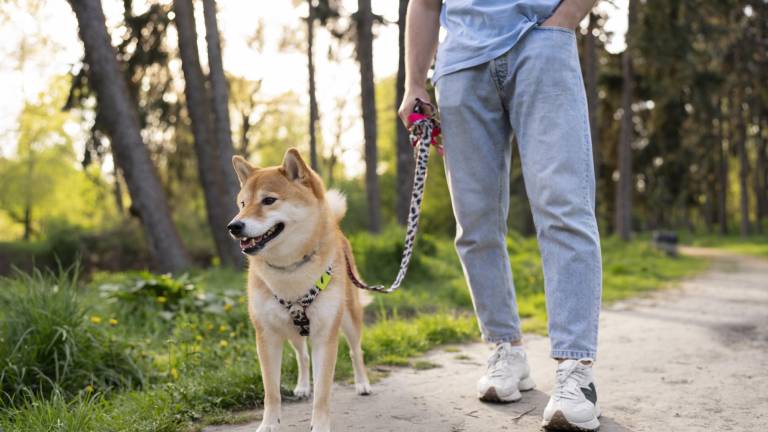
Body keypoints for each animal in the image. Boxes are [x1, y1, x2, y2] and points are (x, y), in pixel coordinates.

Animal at [226, 149, 370, 432]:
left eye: (268, 200)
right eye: (242, 204)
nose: (234, 226)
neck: (289, 270)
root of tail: (337, 227)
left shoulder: (325, 335)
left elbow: (323, 392)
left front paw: (320, 425)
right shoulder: (267, 335)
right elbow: (271, 392)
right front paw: (269, 424)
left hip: (348, 318)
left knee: (355, 351)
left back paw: (362, 384)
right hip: (291, 330)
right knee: (302, 356)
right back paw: (303, 387)